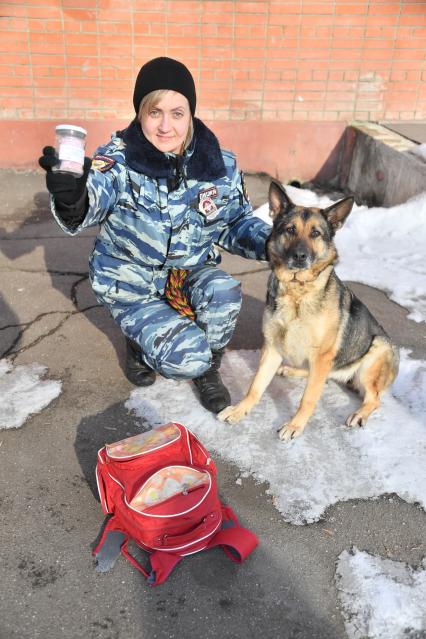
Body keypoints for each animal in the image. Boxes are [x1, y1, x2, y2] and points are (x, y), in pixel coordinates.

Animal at [220, 180, 400, 440]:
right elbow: (255, 386)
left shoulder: (322, 356)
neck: (297, 292)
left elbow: (308, 398)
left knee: (373, 399)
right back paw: (290, 370)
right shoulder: (271, 348)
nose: (299, 256)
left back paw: (359, 414)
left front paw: (295, 425)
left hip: (378, 348)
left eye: (315, 233)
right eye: (290, 230)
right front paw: (239, 410)